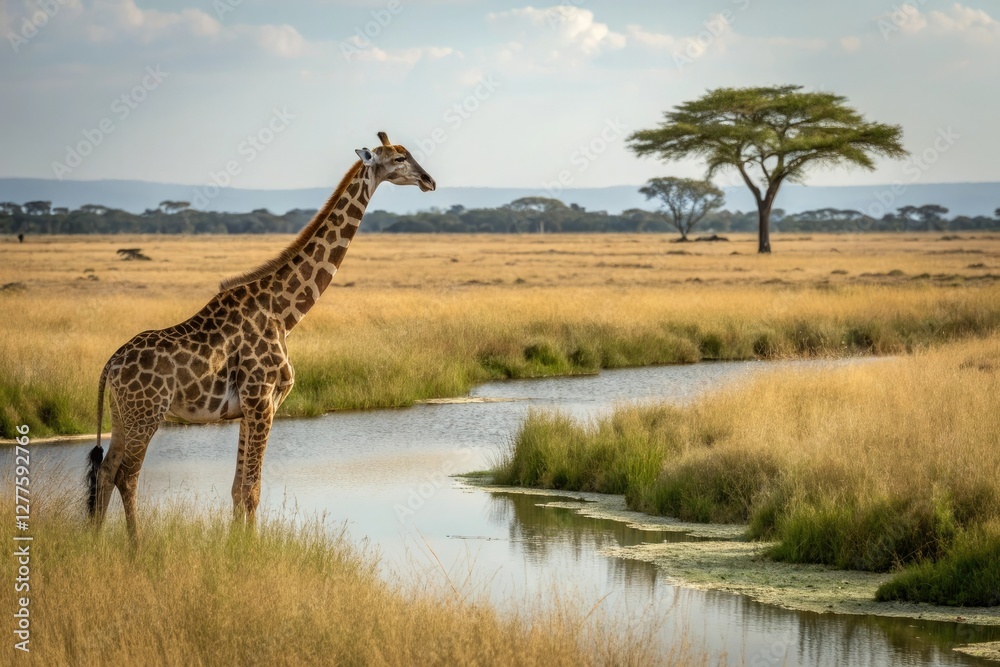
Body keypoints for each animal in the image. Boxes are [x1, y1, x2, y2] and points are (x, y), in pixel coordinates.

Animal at [87, 131, 436, 535]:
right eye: (398, 159)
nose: (429, 180)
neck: (283, 312)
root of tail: (110, 365)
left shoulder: (249, 408)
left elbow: (238, 489)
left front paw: (236, 544)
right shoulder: (263, 400)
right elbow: (252, 490)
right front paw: (246, 546)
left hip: (121, 415)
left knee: (106, 471)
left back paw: (97, 539)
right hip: (147, 414)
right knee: (127, 476)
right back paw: (136, 543)